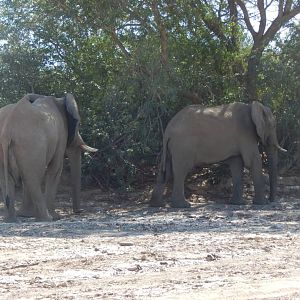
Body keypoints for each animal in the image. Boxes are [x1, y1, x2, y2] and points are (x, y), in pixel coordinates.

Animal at [0, 92, 97, 221]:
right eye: (78, 123)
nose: (79, 211)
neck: (60, 99)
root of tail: (7, 130)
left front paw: (26, 215)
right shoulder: (61, 134)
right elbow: (56, 169)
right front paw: (56, 217)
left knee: (10, 179)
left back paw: (12, 220)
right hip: (32, 144)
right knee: (33, 177)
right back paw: (47, 218)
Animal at [150, 102, 286, 207]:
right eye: (273, 126)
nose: (271, 200)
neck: (253, 106)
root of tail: (168, 130)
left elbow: (236, 164)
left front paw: (237, 204)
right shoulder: (245, 134)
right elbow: (252, 161)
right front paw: (262, 203)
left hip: (172, 147)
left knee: (165, 172)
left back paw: (157, 205)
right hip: (183, 145)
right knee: (181, 171)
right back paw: (183, 205)